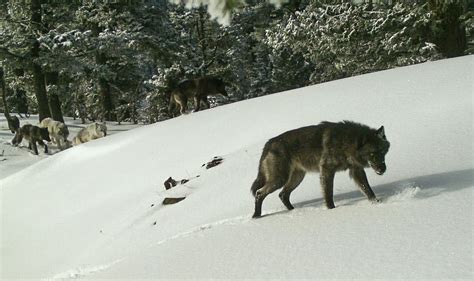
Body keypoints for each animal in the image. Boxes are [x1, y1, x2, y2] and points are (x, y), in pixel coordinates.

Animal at [250, 120, 390, 217]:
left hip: (297, 178)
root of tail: (268, 143)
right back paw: (256, 216)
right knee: (259, 193)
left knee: (283, 194)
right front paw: (331, 210)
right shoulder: (327, 170)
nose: (382, 169)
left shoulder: (356, 170)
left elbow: (368, 190)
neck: (346, 142)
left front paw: (377, 203)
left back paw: (294, 211)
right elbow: (328, 194)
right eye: (372, 154)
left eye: (383, 152)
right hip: (280, 179)